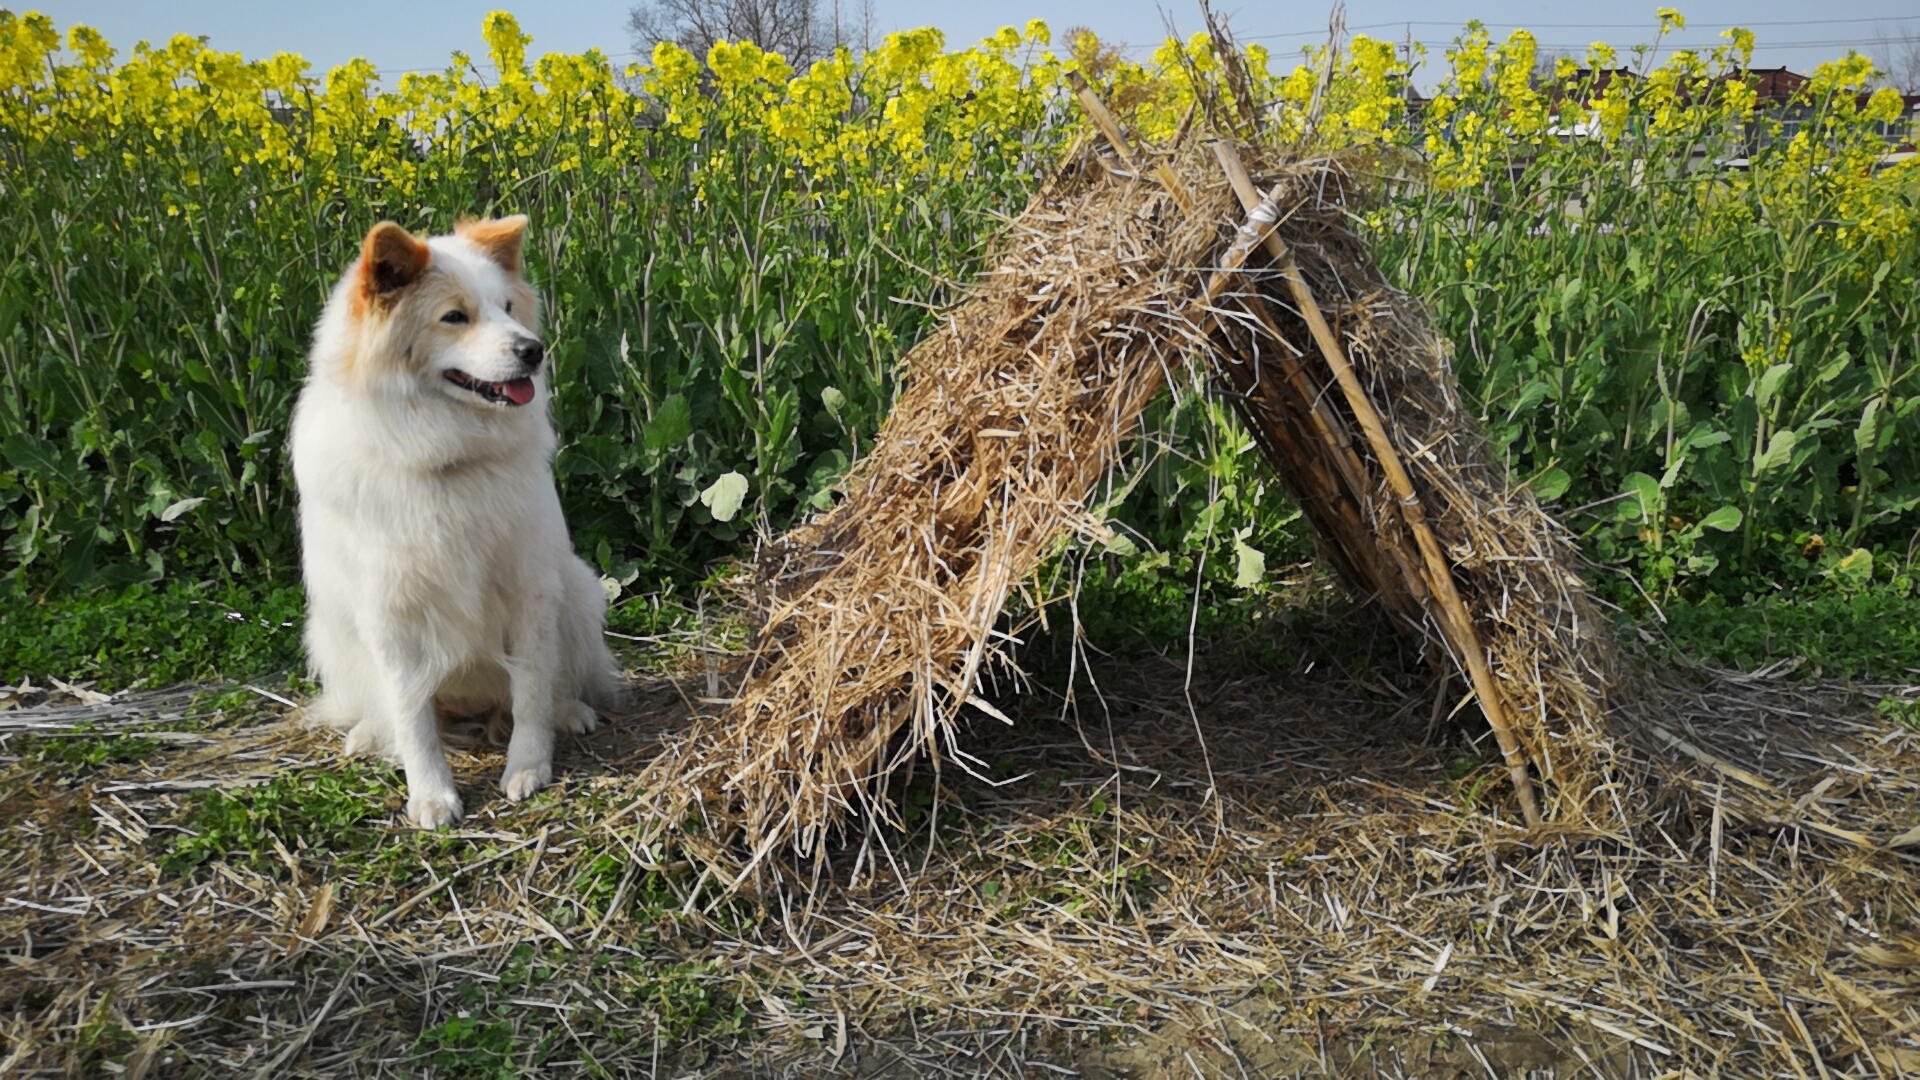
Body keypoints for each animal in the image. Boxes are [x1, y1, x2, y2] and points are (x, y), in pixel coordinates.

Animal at [289, 216, 614, 822]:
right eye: (455, 316)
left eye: (507, 307)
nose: (533, 350)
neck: (445, 459)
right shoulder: (389, 617)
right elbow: (412, 718)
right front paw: (432, 794)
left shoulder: (530, 592)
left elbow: (531, 693)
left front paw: (528, 766)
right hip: (330, 631)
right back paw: (371, 735)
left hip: (581, 595)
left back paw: (569, 712)